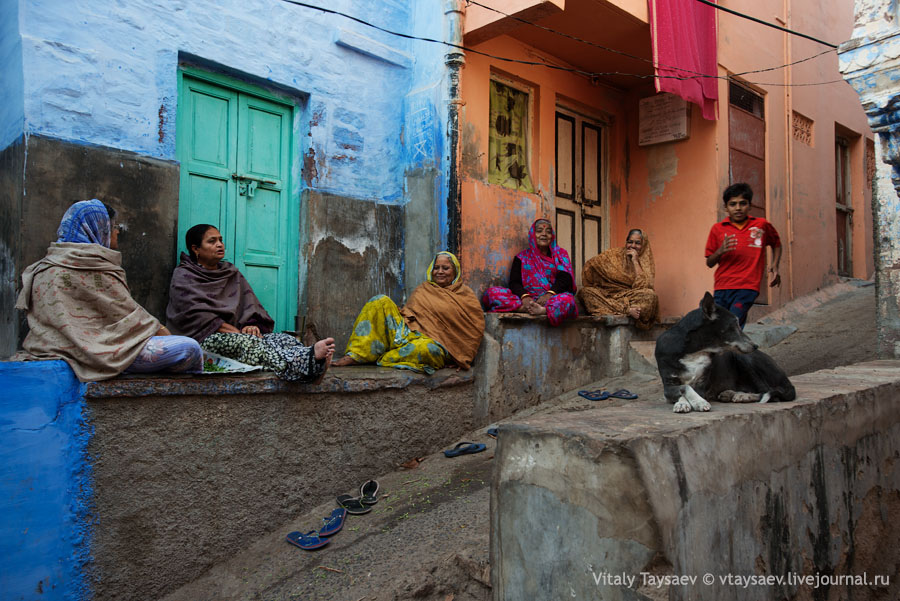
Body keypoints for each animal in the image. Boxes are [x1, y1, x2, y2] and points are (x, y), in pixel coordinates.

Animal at [652, 292, 796, 412]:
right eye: (734, 325)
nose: (756, 345)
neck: (694, 351)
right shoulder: (668, 385)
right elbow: (683, 388)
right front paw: (682, 403)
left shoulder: (702, 385)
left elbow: (689, 388)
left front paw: (699, 402)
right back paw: (730, 394)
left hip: (743, 358)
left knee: (769, 393)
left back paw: (742, 396)